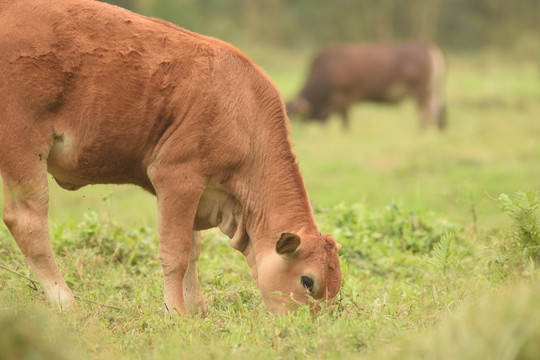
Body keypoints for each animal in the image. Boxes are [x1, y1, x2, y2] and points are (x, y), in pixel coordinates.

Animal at [0, 0, 342, 316]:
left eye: (334, 291)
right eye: (308, 281)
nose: (305, 326)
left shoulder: (198, 192)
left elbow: (192, 250)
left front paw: (197, 310)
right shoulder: (177, 176)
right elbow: (175, 253)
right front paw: (176, 313)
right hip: (22, 142)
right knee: (29, 223)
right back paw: (66, 303)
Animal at [286, 42, 448, 130]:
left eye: (292, 115)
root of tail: (427, 47)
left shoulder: (344, 100)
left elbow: (345, 124)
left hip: (421, 92)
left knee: (425, 113)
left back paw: (421, 131)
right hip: (431, 91)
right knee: (435, 112)